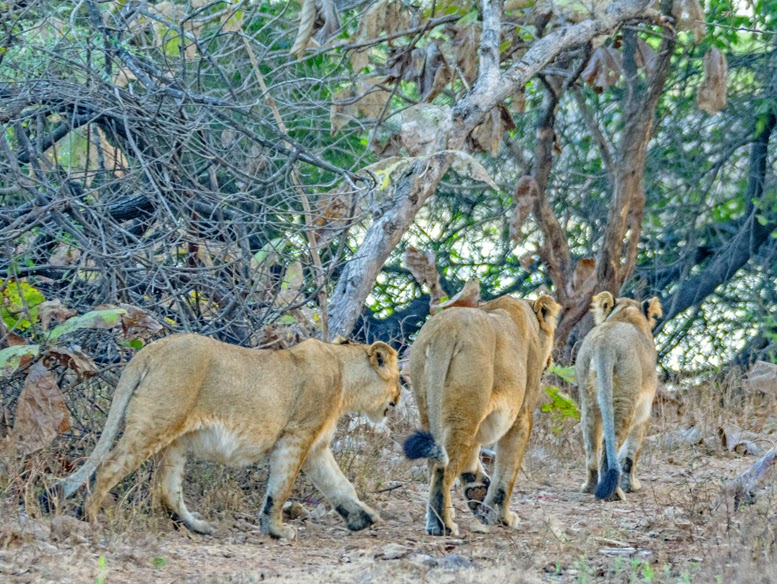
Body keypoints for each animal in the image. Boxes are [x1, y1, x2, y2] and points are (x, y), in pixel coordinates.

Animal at [56, 333, 401, 539]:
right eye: (400, 378)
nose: (399, 397)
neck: (346, 379)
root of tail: (153, 348)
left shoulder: (317, 448)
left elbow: (340, 484)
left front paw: (363, 518)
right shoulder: (296, 437)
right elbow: (281, 488)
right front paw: (276, 530)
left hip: (176, 439)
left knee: (167, 489)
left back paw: (199, 526)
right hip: (155, 422)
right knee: (109, 465)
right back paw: (91, 519)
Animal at [403, 294, 561, 536]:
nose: (551, 359)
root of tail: (446, 327)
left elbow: (474, 462)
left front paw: (478, 493)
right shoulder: (522, 415)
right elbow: (507, 470)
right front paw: (501, 517)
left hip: (430, 408)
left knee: (434, 461)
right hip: (465, 411)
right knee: (443, 468)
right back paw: (443, 525)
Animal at [575, 292, 662, 501]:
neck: (625, 314)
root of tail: (604, 344)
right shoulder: (644, 412)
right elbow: (631, 452)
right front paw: (632, 485)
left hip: (588, 400)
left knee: (591, 447)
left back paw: (590, 487)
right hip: (625, 400)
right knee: (611, 445)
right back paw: (614, 493)